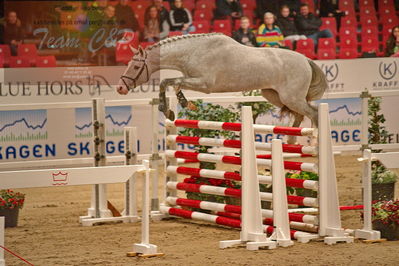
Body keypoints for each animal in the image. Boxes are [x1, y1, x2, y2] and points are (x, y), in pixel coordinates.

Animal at [116, 32, 328, 141]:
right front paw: (180, 105)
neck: (193, 51)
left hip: (291, 98)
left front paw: (166, 108)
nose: (120, 88)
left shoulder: (204, 83)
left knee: (314, 113)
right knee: (300, 116)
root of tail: (305, 59)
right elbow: (173, 84)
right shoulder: (191, 78)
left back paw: (314, 139)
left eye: (136, 67)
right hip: (274, 95)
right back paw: (291, 143)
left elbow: (166, 82)